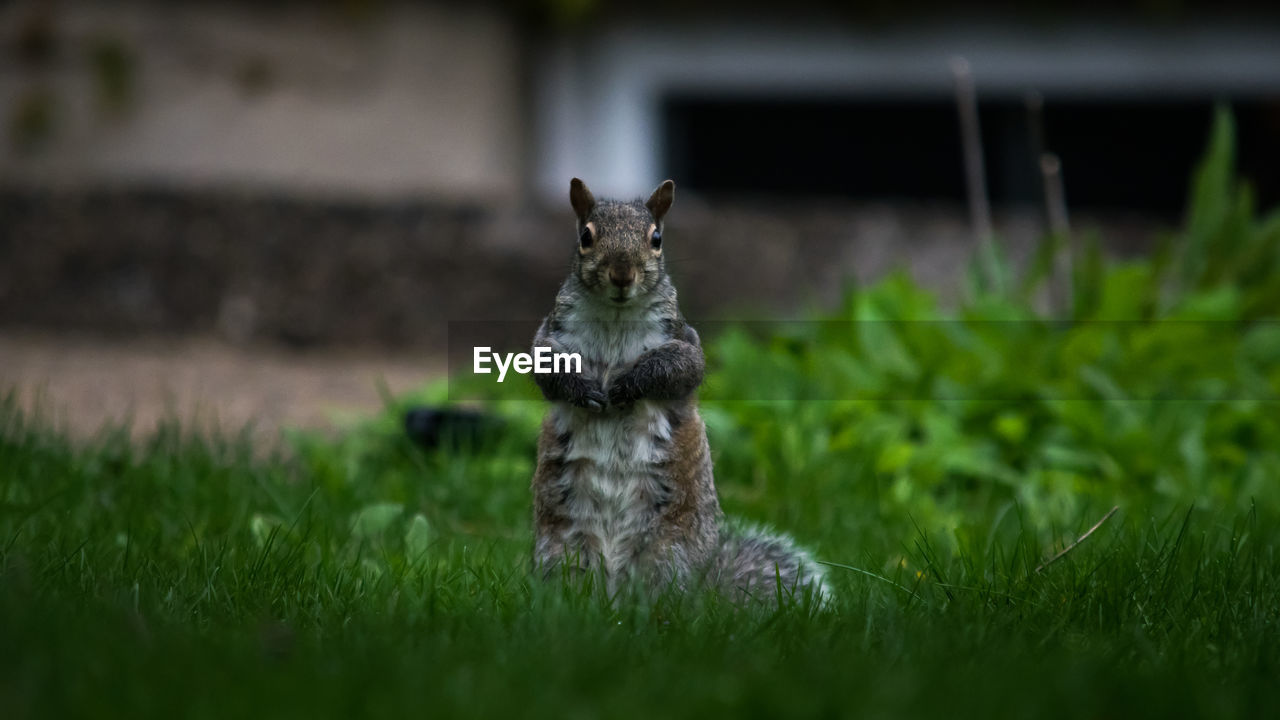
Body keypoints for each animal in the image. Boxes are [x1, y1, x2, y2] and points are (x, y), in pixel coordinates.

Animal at [529, 176, 829, 602]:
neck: (616, 316)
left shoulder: (682, 339)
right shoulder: (553, 333)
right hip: (561, 547)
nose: (622, 275)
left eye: (656, 238)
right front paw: (582, 388)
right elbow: (545, 368)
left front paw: (627, 385)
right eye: (585, 236)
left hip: (671, 549)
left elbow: (680, 367)